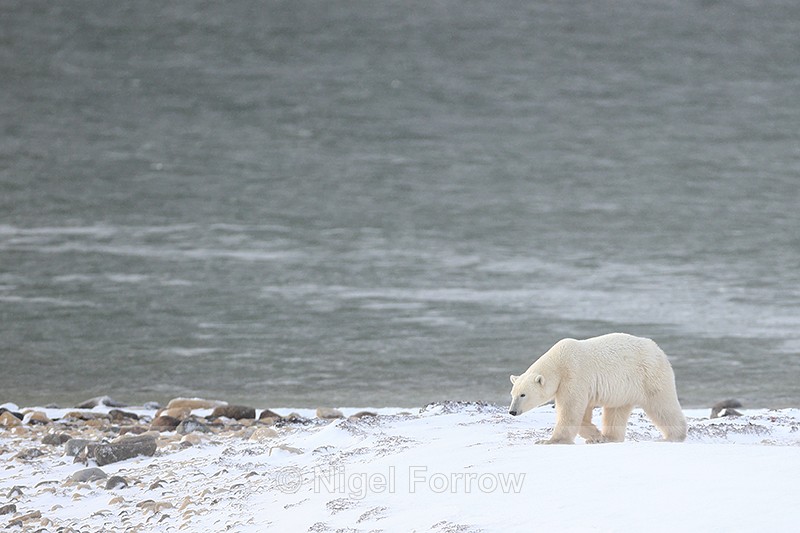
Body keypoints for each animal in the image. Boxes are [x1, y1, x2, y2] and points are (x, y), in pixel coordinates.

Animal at [508, 333, 687, 444]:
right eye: (512, 394)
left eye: (523, 395)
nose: (512, 411)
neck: (558, 362)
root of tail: (659, 350)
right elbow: (582, 413)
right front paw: (596, 436)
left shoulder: (574, 375)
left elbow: (570, 410)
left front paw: (548, 441)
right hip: (624, 389)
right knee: (616, 411)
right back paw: (609, 437)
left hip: (649, 375)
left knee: (662, 405)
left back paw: (674, 436)